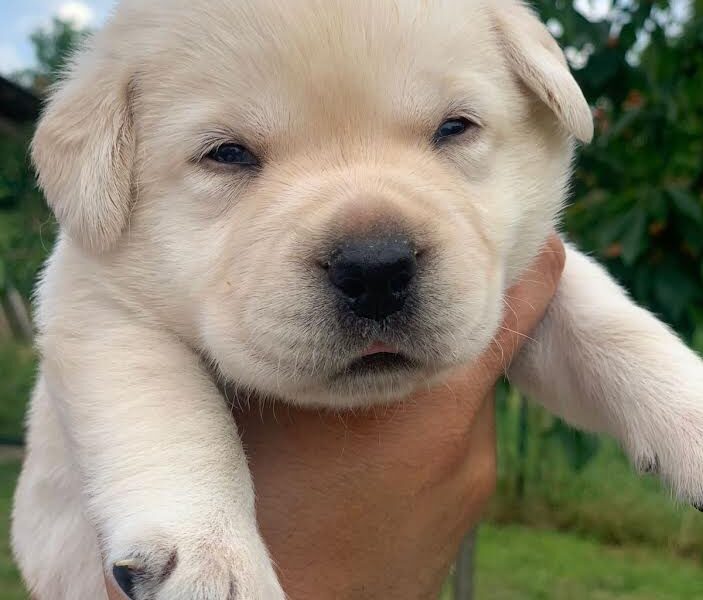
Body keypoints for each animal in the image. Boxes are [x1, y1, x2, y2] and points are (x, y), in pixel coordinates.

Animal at [9, 1, 703, 600]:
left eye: (455, 127)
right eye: (226, 154)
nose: (375, 269)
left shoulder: (525, 275)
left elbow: (605, 322)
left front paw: (689, 414)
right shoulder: (94, 301)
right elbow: (169, 407)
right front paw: (212, 557)